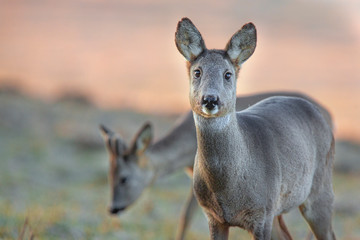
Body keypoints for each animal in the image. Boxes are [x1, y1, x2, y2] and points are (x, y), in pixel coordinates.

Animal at [176, 17, 336, 240]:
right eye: (197, 72)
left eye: (228, 74)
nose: (210, 99)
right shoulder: (214, 217)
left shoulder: (262, 213)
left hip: (320, 189)